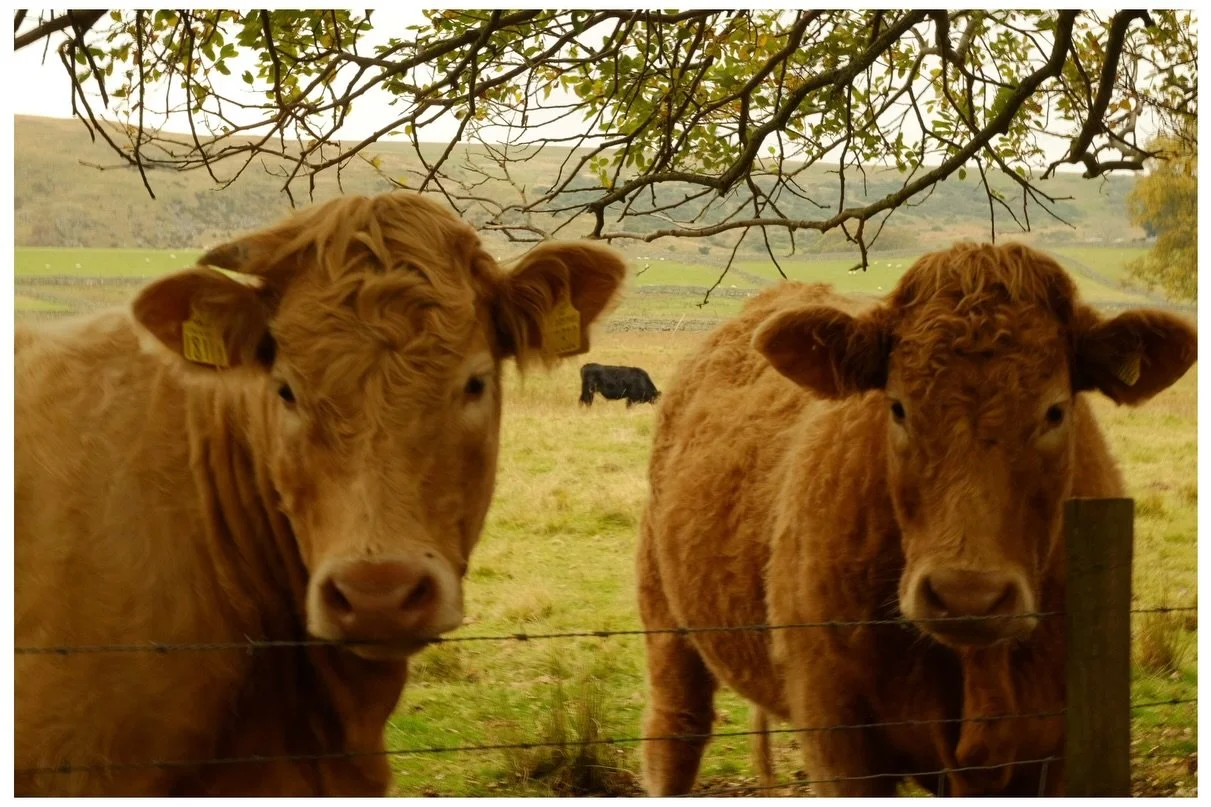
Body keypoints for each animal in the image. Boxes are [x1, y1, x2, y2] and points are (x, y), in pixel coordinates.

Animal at [636, 242, 1196, 796]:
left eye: (1055, 411)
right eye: (898, 407)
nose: (967, 596)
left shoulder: (1058, 750)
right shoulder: (838, 735)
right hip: (666, 626)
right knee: (676, 734)